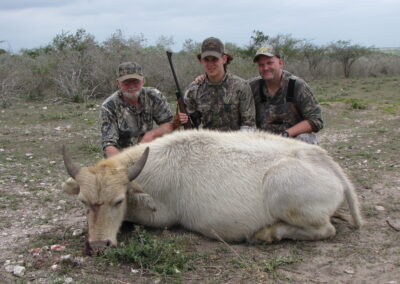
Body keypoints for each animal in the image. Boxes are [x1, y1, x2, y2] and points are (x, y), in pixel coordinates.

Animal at [61, 130, 362, 254]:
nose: (98, 246)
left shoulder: (162, 218)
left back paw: (266, 234)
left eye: (119, 200)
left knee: (326, 230)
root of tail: (331, 167)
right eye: (83, 201)